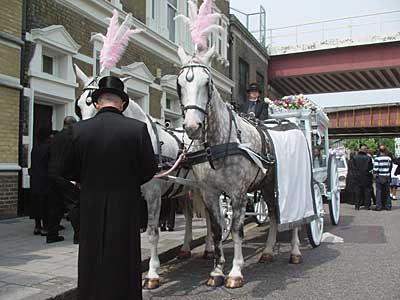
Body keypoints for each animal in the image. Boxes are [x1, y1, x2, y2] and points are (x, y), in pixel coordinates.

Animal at [175, 47, 304, 288]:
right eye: (179, 84)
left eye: (207, 82)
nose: (192, 126)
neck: (217, 144)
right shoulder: (209, 193)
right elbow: (217, 230)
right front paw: (217, 271)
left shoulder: (238, 193)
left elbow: (236, 230)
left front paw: (235, 272)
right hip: (267, 185)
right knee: (274, 214)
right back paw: (268, 252)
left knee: (295, 217)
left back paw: (295, 252)